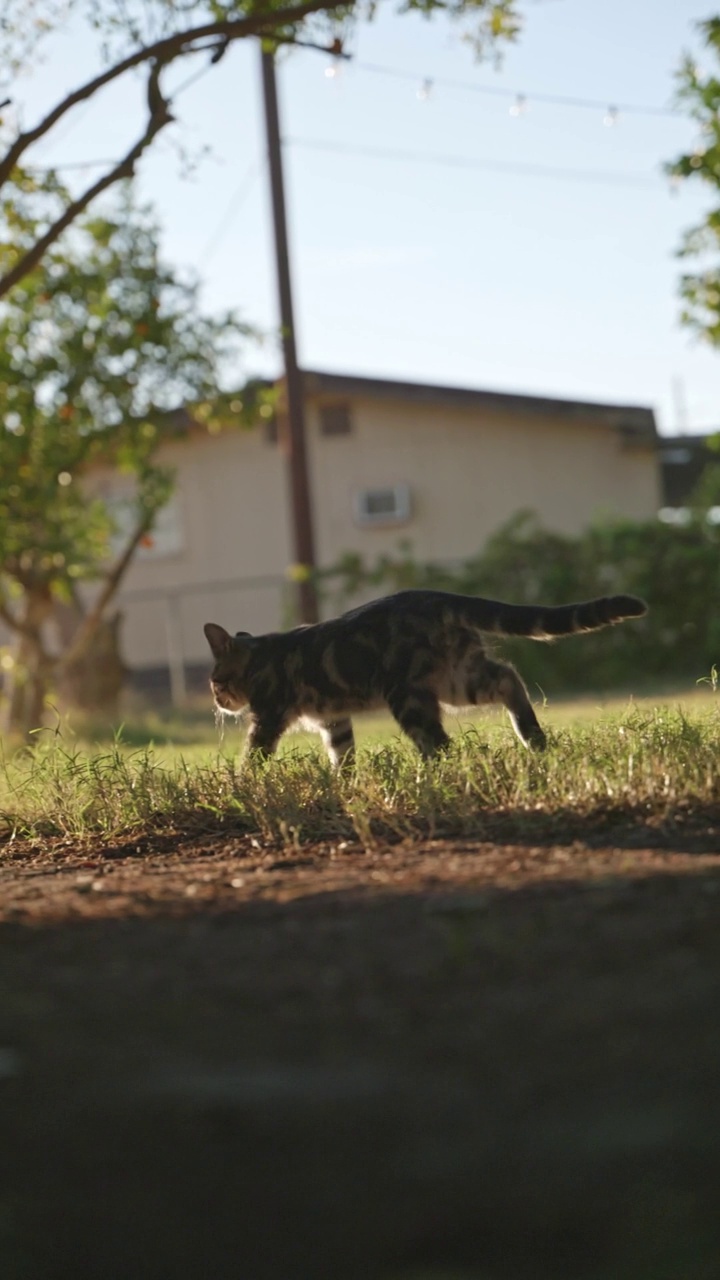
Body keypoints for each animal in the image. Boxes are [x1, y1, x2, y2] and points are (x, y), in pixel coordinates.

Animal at [202, 586, 645, 757]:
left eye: (215, 681)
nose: (217, 701)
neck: (261, 655)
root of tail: (439, 596)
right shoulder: (334, 719)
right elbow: (343, 757)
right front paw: (346, 787)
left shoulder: (269, 717)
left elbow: (252, 756)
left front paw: (243, 785)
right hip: (458, 679)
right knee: (508, 677)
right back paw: (532, 738)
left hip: (409, 694)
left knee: (440, 742)